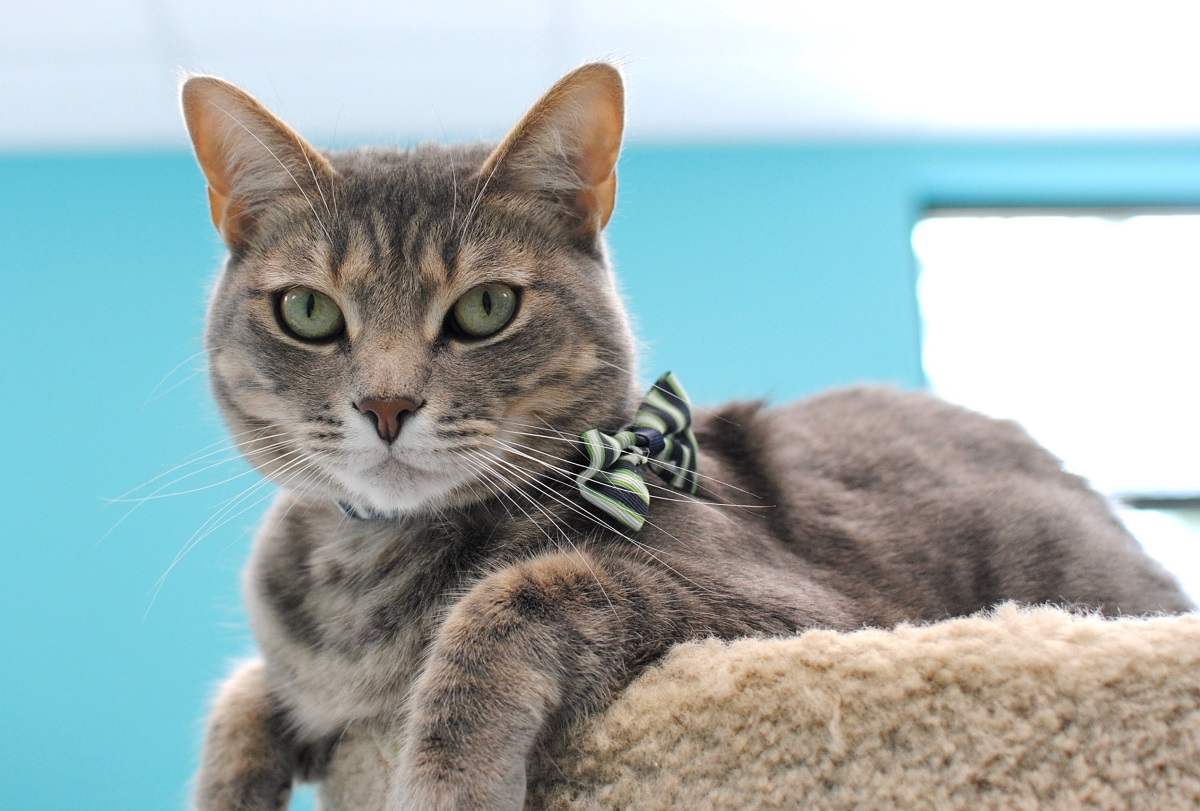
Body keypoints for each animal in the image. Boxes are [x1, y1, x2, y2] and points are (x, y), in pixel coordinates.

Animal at [184, 65, 1190, 811]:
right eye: (309, 312)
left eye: (486, 307)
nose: (387, 405)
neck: (366, 582)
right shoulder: (300, 675)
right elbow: (239, 697)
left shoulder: (783, 605)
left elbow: (514, 596)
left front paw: (447, 785)